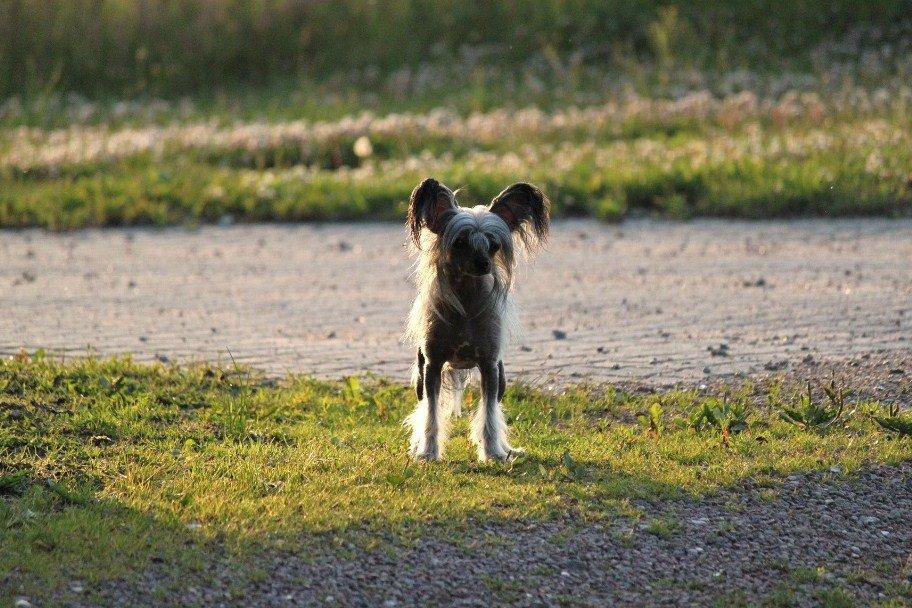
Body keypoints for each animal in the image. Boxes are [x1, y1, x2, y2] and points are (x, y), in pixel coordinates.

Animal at [404, 176, 548, 460]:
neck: (467, 303)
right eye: (459, 242)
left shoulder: (489, 366)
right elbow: (431, 414)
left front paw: (493, 452)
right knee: (422, 405)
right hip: (420, 375)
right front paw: (428, 451)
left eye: (494, 245)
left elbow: (489, 414)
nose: (483, 264)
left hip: (501, 378)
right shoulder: (432, 366)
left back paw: (506, 448)